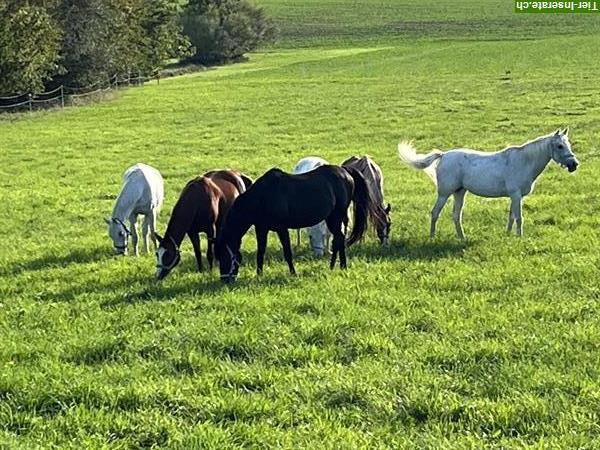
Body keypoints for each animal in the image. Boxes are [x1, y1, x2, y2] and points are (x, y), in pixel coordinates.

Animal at [217, 165, 384, 284]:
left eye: (225, 256)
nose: (225, 279)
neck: (262, 197)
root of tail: (345, 171)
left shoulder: (281, 229)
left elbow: (287, 252)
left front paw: (293, 273)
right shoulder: (261, 229)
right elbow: (260, 252)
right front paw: (259, 275)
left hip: (337, 216)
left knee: (339, 239)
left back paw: (342, 266)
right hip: (331, 218)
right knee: (338, 239)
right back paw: (332, 267)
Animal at [398, 127, 576, 237]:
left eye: (568, 144)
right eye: (559, 146)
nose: (574, 164)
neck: (523, 161)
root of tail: (443, 155)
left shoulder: (514, 197)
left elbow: (511, 217)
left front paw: (508, 235)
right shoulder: (516, 195)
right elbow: (519, 217)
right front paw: (520, 237)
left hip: (459, 192)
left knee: (456, 215)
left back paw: (461, 237)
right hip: (444, 193)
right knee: (435, 213)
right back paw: (432, 237)